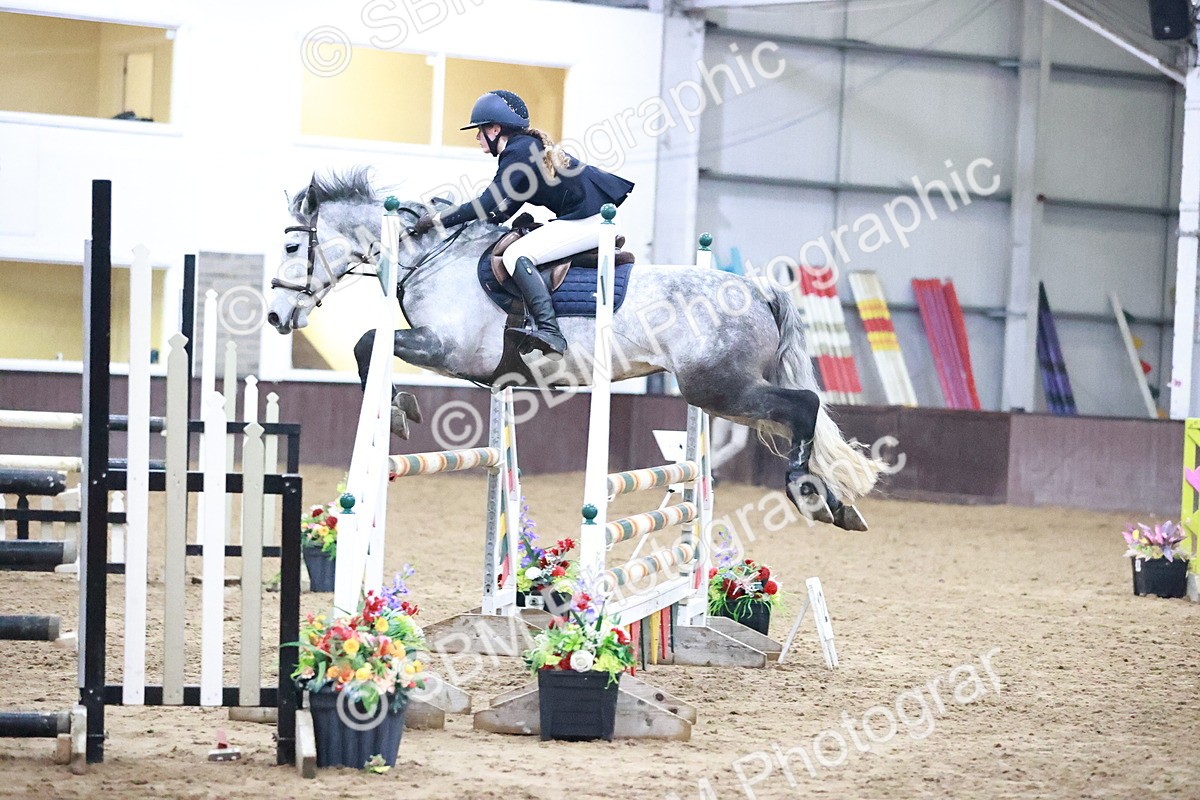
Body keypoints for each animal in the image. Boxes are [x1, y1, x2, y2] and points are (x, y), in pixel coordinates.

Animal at [266, 170, 883, 530]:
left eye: (294, 246)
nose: (274, 316)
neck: (432, 258)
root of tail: (756, 288)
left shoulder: (449, 350)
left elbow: (369, 343)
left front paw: (397, 410)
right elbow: (371, 347)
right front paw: (398, 407)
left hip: (719, 387)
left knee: (804, 406)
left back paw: (811, 495)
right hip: (723, 393)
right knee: (797, 416)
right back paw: (837, 502)